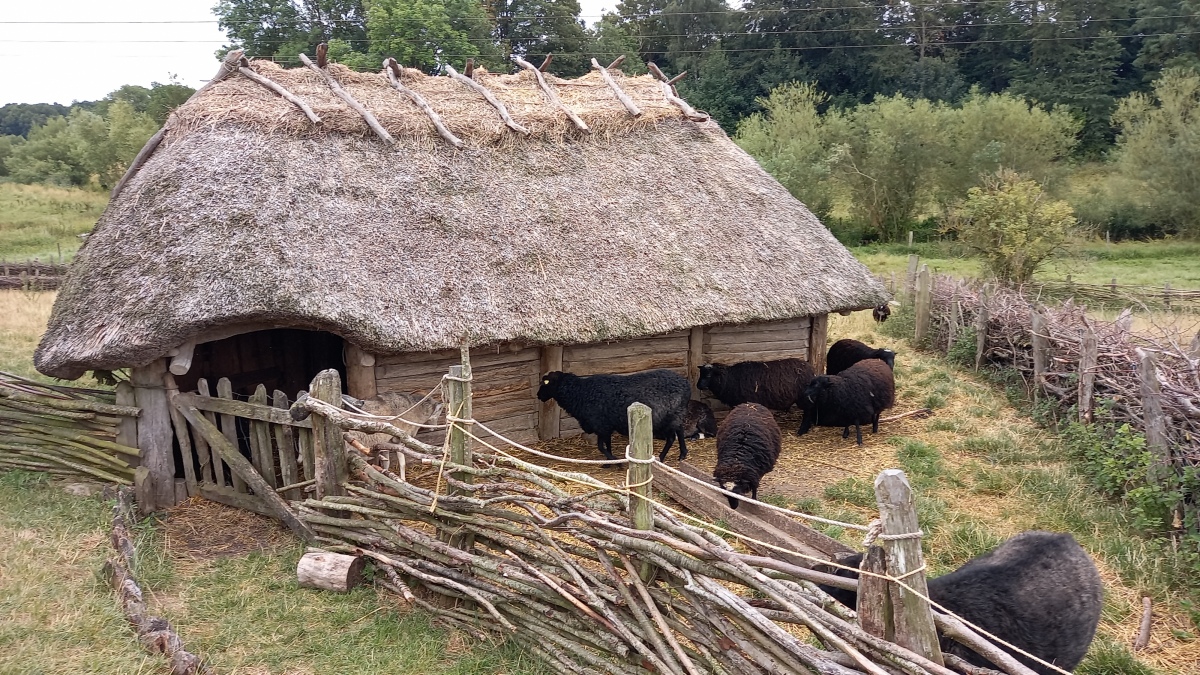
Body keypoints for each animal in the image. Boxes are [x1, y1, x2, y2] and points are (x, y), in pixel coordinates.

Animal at [537, 367, 696, 461]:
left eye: (546, 383)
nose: (538, 395)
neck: (581, 393)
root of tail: (686, 384)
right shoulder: (606, 426)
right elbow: (607, 445)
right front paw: (609, 461)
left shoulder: (601, 425)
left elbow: (601, 447)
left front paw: (614, 461)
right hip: (676, 414)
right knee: (680, 431)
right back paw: (682, 454)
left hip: (668, 417)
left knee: (671, 438)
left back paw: (661, 458)